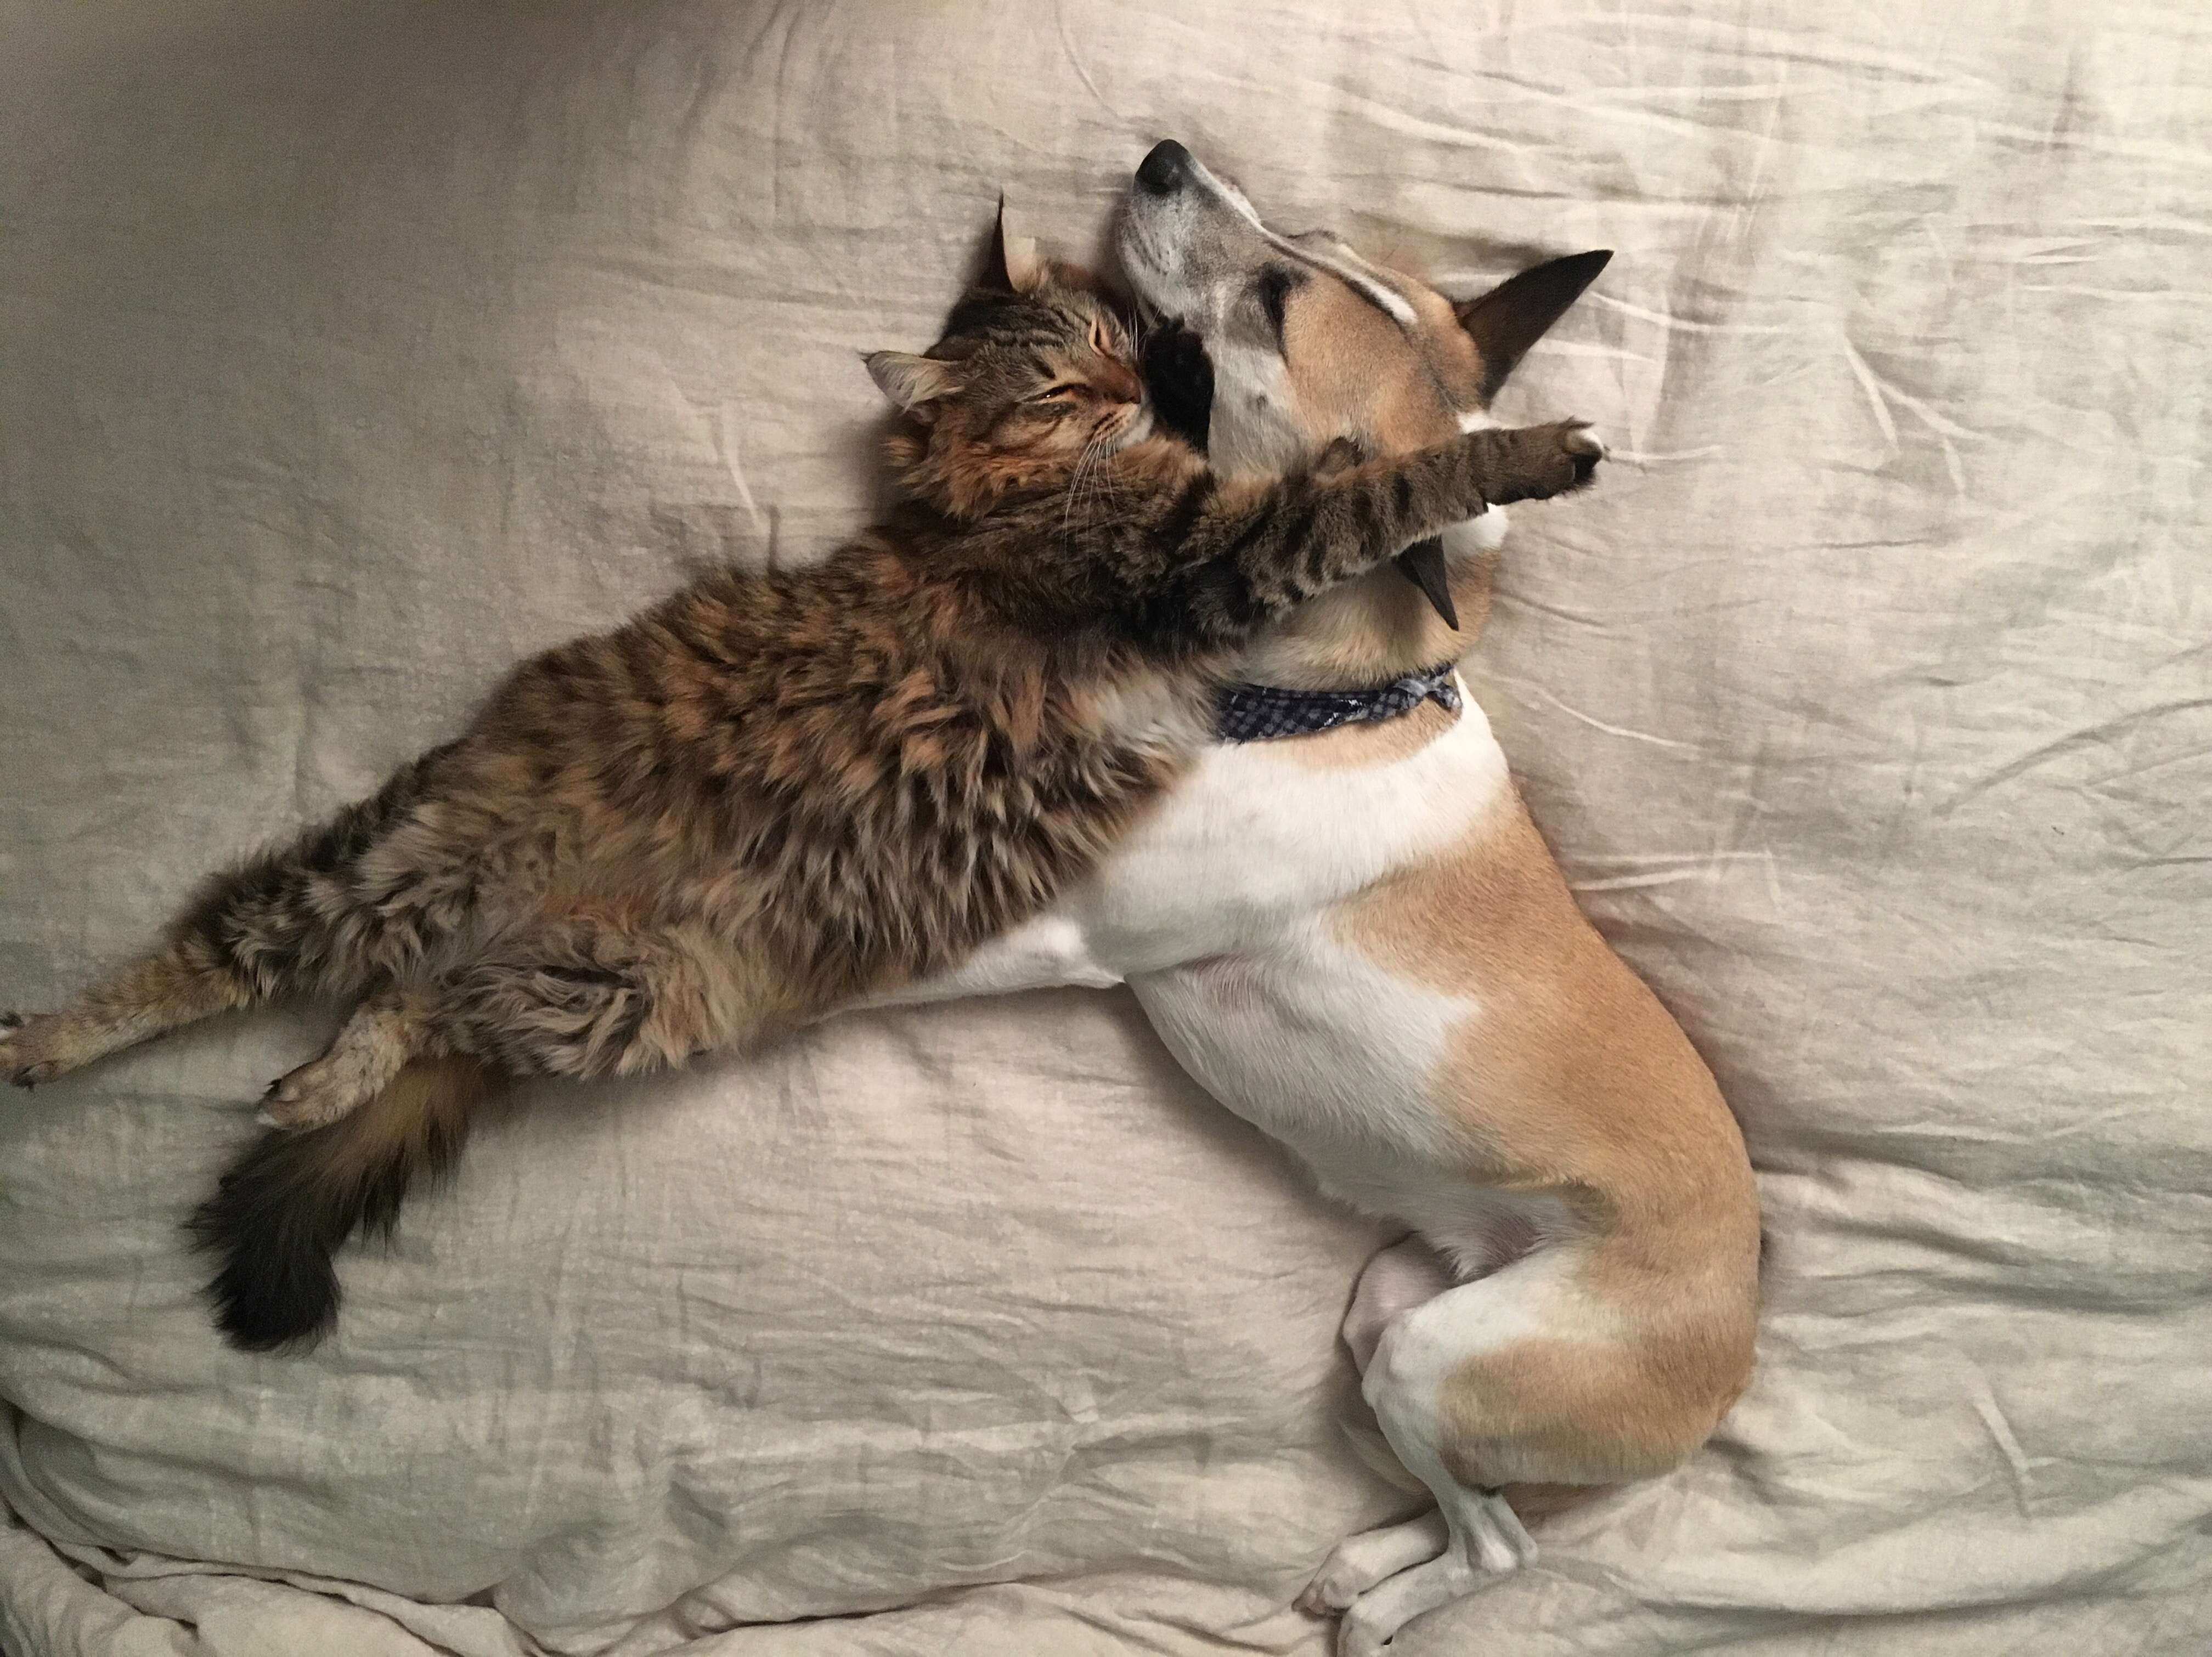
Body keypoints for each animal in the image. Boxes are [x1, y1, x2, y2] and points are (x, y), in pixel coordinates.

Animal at [0, 210, 1601, 1345]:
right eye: (1063, 372)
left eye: (1111, 335)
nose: (1141, 371)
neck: (1010, 489)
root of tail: (511, 912)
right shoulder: (1203, 557)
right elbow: (1374, 489)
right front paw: (1516, 453)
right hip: (394, 874)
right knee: (210, 955)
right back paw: (46, 1041)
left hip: (606, 1000)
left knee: (408, 1005)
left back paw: (317, 1076)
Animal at [880, 145, 1760, 1654]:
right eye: (1319, 234)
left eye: (1275, 304)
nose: (1165, 155)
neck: (1338, 699)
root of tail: (1734, 1353)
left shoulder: (1071, 925)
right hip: (1391, 1312)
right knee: (1485, 1505)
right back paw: (1364, 1565)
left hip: (1437, 1355)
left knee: (1505, 1543)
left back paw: (1379, 1604)